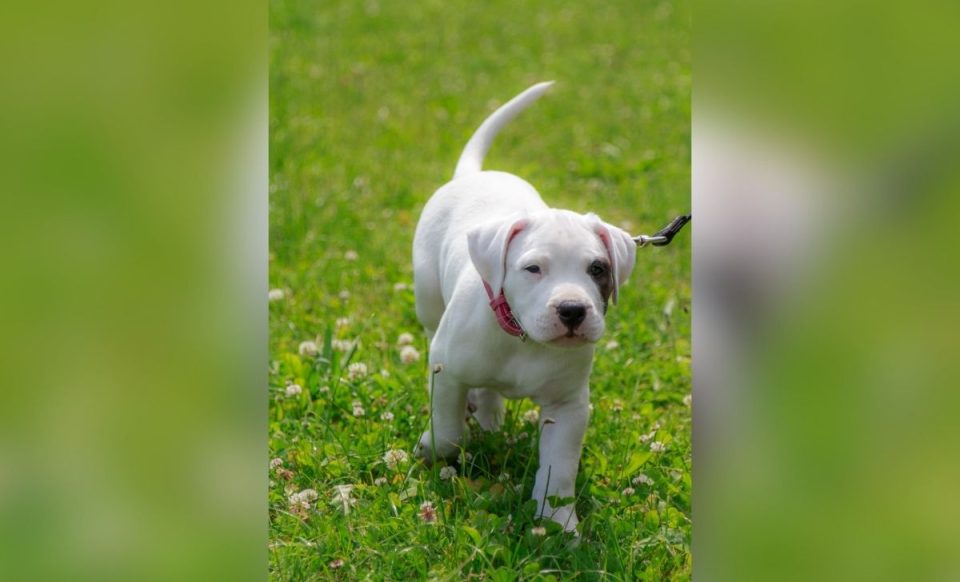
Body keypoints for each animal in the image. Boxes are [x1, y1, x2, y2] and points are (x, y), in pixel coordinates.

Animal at [412, 81, 636, 532]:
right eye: (533, 268)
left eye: (598, 269)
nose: (572, 310)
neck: (523, 339)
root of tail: (473, 175)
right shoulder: (446, 369)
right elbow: (448, 431)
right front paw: (432, 447)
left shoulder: (568, 408)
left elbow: (559, 469)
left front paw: (557, 523)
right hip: (428, 303)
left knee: (490, 394)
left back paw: (490, 420)